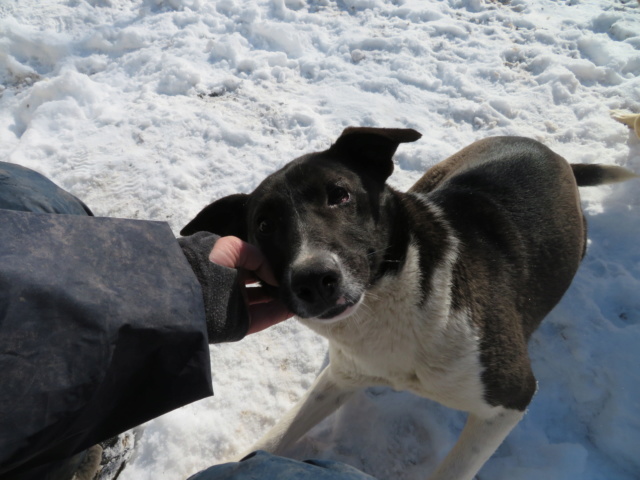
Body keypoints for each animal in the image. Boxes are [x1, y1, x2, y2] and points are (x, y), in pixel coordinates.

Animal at [180, 129, 636, 480]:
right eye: (263, 224)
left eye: (339, 195)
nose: (314, 280)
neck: (389, 306)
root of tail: (555, 156)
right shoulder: (343, 375)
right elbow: (270, 440)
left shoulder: (510, 397)